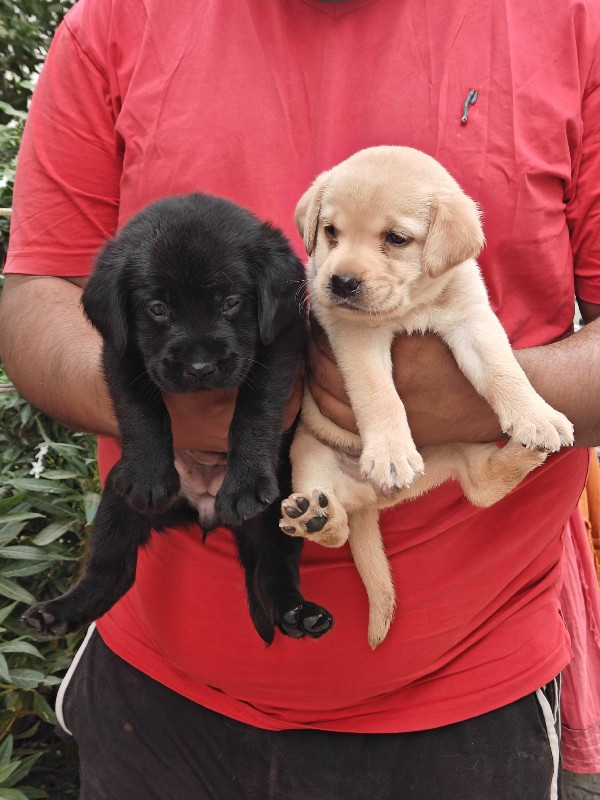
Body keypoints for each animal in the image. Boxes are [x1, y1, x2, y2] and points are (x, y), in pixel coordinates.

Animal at [22, 194, 332, 644]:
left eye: (231, 302)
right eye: (158, 309)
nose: (200, 368)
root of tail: (203, 508)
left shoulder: (281, 343)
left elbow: (255, 408)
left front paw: (246, 482)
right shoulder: (122, 353)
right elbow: (141, 409)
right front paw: (150, 475)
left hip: (284, 509)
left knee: (273, 573)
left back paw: (299, 614)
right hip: (115, 496)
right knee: (112, 571)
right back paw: (58, 612)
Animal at [280, 147, 572, 648]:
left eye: (396, 238)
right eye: (330, 231)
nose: (340, 282)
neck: (412, 306)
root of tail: (371, 501)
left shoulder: (474, 318)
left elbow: (502, 369)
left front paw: (537, 415)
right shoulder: (354, 334)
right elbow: (379, 394)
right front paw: (391, 452)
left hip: (458, 448)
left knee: (481, 486)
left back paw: (524, 453)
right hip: (309, 458)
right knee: (335, 530)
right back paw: (314, 516)